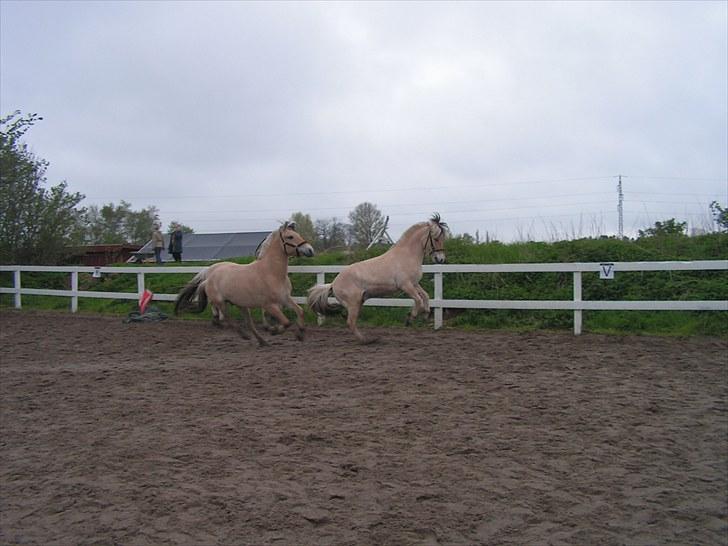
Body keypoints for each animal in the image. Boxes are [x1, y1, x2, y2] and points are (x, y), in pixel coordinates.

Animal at [304, 211, 446, 340]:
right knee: (350, 322)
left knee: (350, 321)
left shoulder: (414, 284)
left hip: (358, 302)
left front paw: (426, 314)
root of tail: (334, 284)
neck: (406, 256)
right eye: (436, 238)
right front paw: (410, 318)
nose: (441, 259)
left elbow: (426, 296)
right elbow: (418, 300)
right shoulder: (405, 286)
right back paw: (367, 340)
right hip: (354, 303)